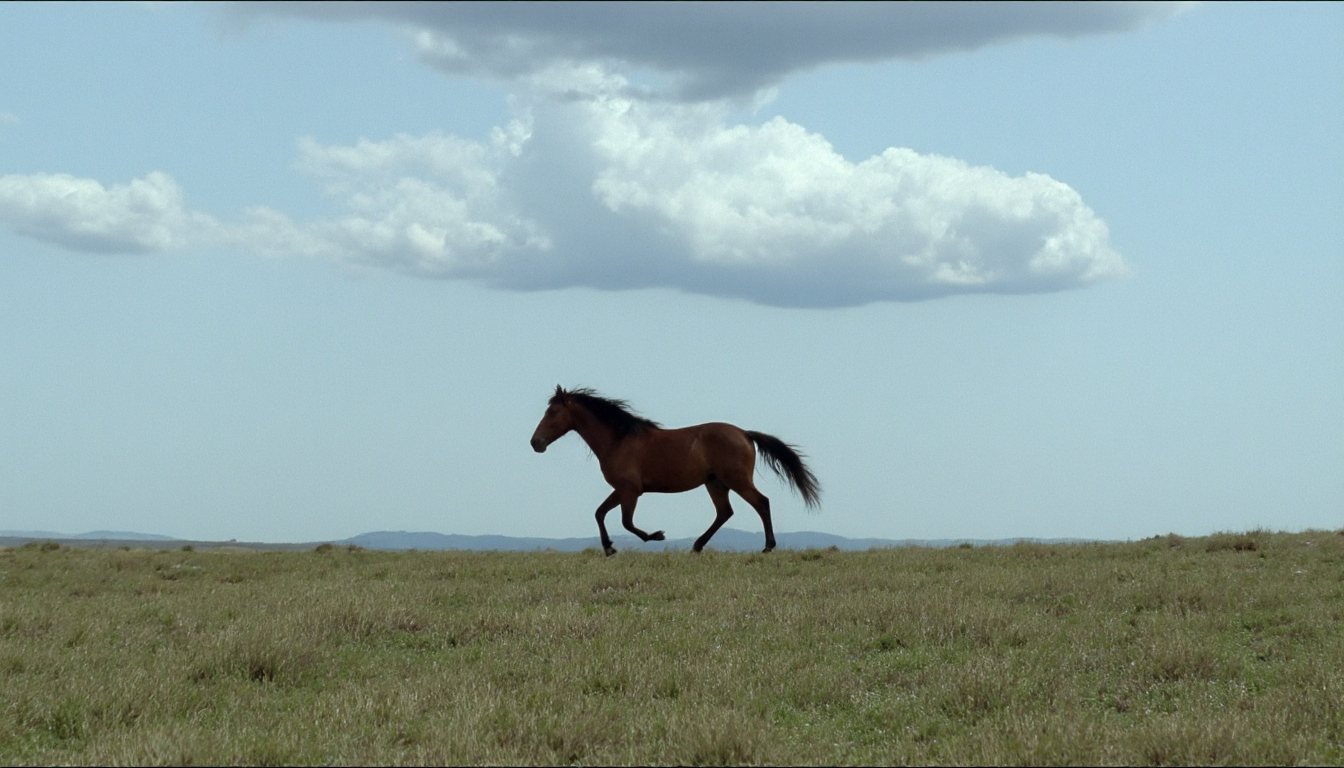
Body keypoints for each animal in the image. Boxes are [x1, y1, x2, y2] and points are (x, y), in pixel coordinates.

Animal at [530, 385, 820, 555]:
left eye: (553, 412)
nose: (535, 443)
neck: (618, 439)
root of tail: (745, 434)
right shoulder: (621, 489)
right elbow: (600, 513)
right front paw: (609, 548)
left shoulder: (630, 490)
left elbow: (626, 521)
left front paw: (656, 536)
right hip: (715, 483)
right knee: (724, 513)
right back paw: (697, 546)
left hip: (735, 480)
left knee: (761, 503)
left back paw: (768, 547)